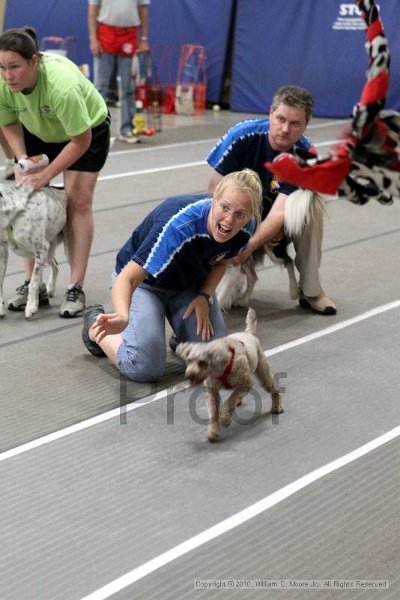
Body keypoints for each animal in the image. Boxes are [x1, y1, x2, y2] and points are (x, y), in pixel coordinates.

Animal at [0, 185, 67, 322]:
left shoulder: (41, 248)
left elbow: (33, 283)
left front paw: (31, 307)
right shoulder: (3, 250)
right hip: (48, 253)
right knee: (56, 265)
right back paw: (50, 288)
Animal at [176, 310, 284, 440]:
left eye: (202, 362)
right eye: (188, 360)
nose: (188, 375)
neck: (219, 367)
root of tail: (248, 333)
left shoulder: (245, 382)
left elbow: (229, 401)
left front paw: (225, 418)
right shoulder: (212, 390)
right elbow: (213, 410)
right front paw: (213, 431)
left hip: (263, 373)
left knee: (275, 388)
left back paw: (277, 407)